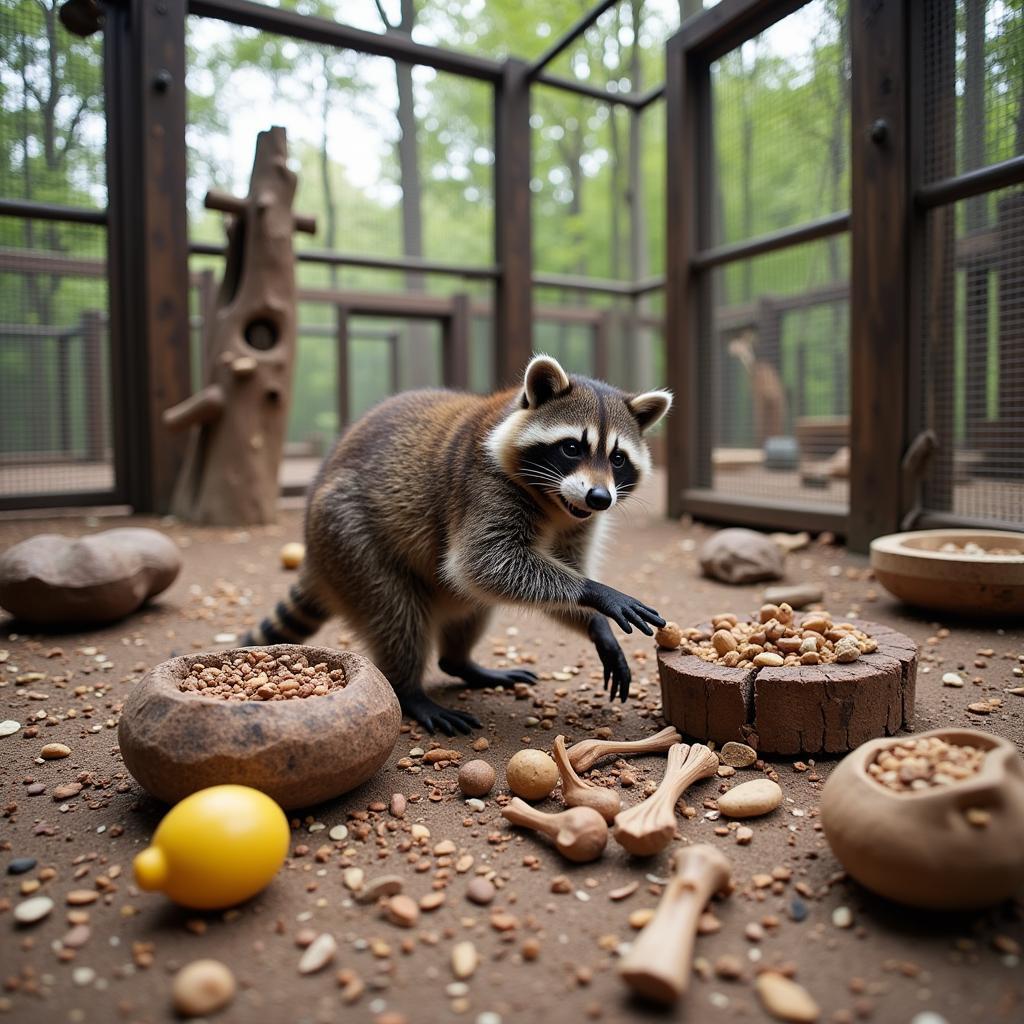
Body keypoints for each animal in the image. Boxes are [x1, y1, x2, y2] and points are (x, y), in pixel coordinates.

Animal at [239, 356, 671, 733]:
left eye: (617, 459)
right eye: (571, 447)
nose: (600, 498)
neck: (554, 503)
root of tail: (314, 555)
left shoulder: (579, 521)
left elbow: (542, 569)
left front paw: (596, 622)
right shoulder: (482, 484)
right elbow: (484, 562)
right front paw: (596, 592)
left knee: (470, 604)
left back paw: (461, 662)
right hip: (348, 539)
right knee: (397, 614)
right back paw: (410, 690)